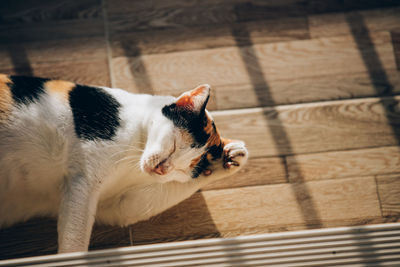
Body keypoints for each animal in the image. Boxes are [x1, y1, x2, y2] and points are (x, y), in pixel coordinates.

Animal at [0, 75, 247, 253]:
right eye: (175, 145)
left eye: (187, 169)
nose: (162, 169)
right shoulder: (84, 182)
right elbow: (75, 239)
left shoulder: (117, 207)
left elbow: (133, 207)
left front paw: (231, 156)